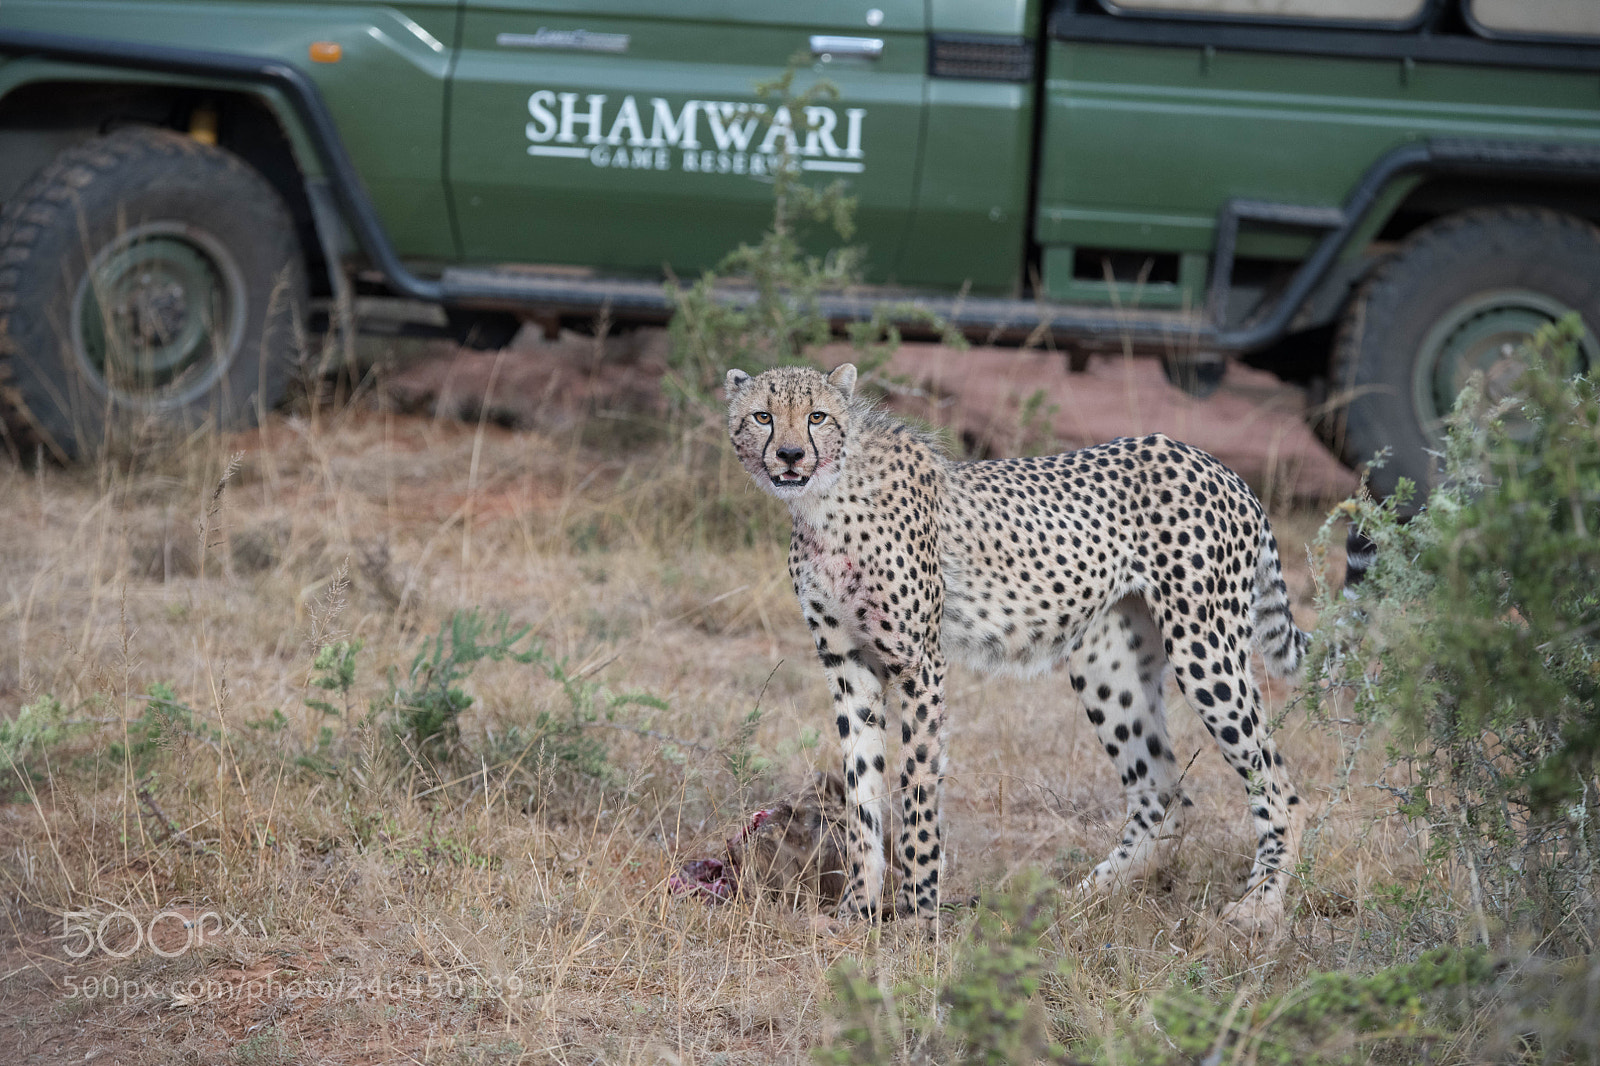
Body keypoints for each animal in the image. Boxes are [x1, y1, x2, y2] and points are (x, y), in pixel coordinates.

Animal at [725, 362, 1309, 933]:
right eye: (763, 416)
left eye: (817, 416)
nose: (790, 454)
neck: (824, 501)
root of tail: (1217, 465)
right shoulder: (848, 665)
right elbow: (860, 792)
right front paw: (855, 911)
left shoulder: (919, 665)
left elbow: (917, 786)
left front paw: (917, 917)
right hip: (1107, 664)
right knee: (1163, 795)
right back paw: (1079, 903)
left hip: (1204, 647)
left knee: (1281, 788)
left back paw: (1260, 907)